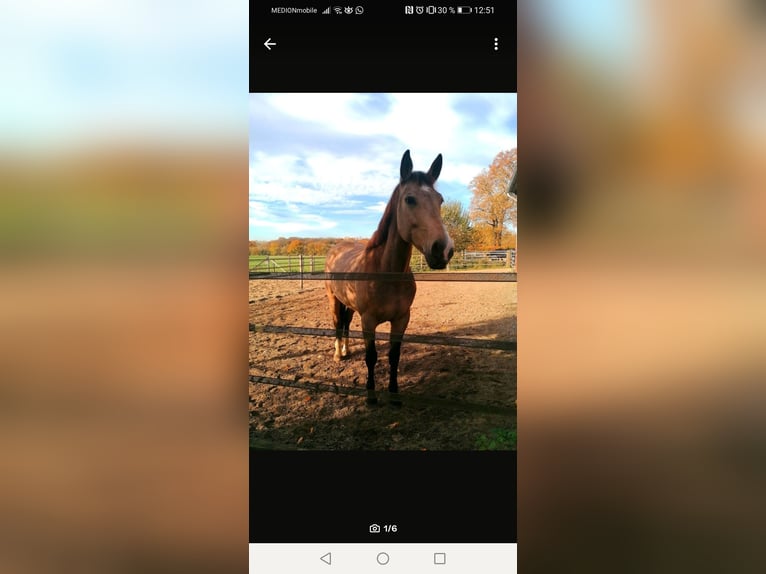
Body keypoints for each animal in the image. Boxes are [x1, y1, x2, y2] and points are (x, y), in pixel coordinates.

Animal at [325, 149, 455, 405]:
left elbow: (394, 356)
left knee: (345, 323)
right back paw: (337, 354)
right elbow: (371, 357)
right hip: (334, 299)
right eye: (410, 199)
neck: (386, 273)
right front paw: (371, 396)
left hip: (349, 304)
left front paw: (394, 394)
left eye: (440, 200)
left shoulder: (402, 319)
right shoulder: (368, 321)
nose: (443, 250)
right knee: (336, 323)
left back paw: (346, 350)